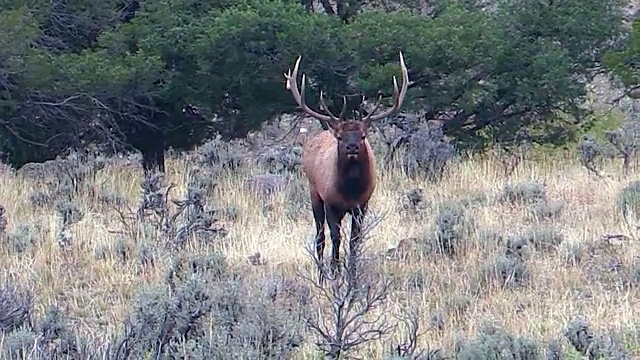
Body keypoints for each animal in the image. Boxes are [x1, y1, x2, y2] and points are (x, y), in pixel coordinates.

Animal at [284, 51, 410, 282]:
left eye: (363, 135)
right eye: (341, 137)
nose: (352, 146)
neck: (350, 190)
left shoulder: (362, 205)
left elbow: (354, 240)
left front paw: (352, 272)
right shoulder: (330, 203)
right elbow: (335, 238)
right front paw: (335, 272)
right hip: (313, 193)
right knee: (319, 236)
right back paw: (321, 274)